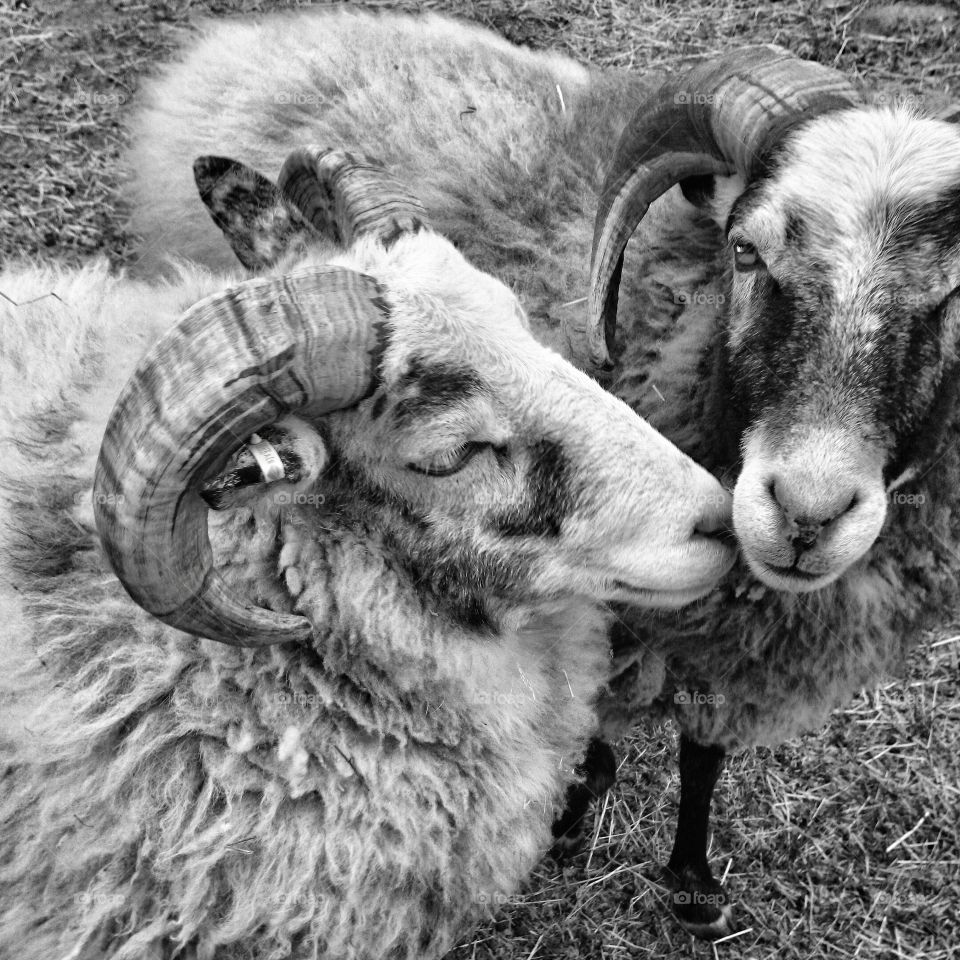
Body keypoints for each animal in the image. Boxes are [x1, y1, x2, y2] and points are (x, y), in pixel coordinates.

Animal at [117, 7, 960, 942]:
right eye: (747, 251)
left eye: (956, 298)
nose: (806, 513)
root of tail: (247, 35)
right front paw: (573, 808)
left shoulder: (729, 649)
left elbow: (703, 756)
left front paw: (691, 879)